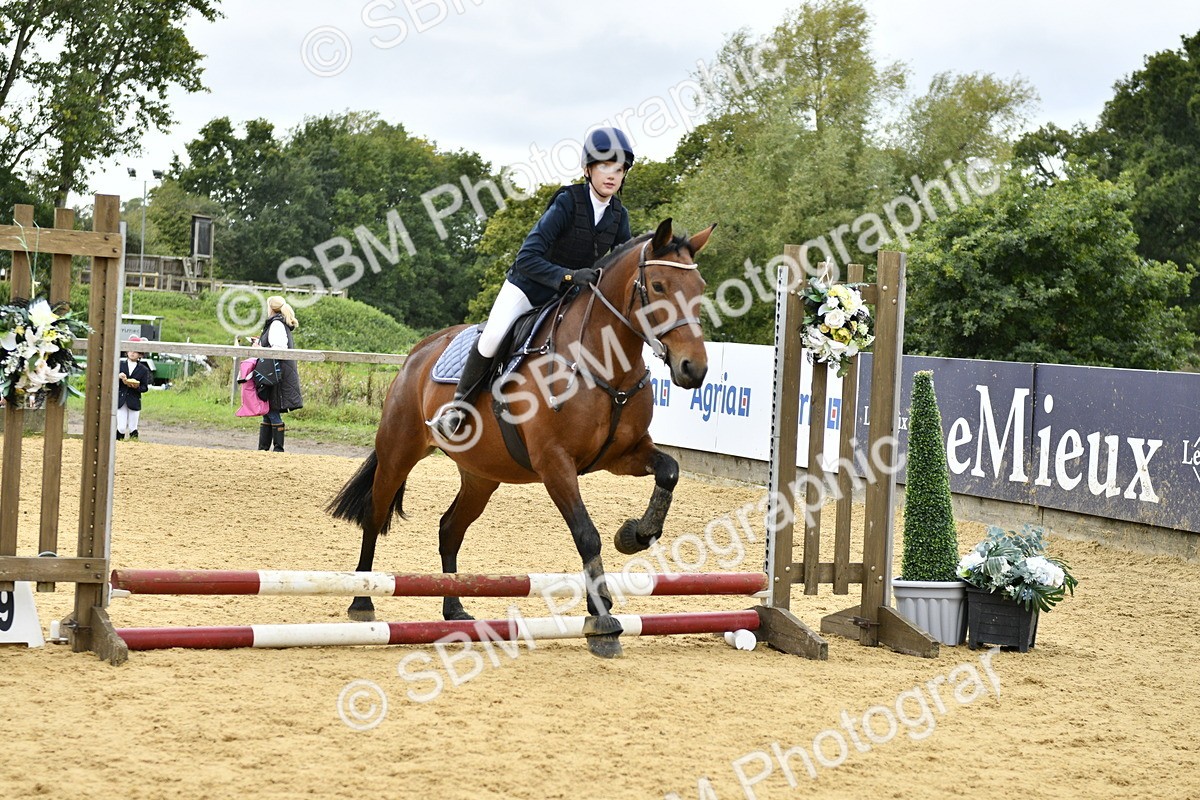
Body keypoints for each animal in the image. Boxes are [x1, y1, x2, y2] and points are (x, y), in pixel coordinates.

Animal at [327, 218, 713, 658]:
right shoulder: (554, 463)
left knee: (449, 528)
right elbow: (587, 536)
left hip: (481, 475)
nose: (694, 369)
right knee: (375, 515)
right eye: (660, 286)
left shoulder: (624, 455)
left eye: (700, 287)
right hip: (399, 450)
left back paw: (454, 609)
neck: (603, 362)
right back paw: (362, 600)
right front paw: (602, 622)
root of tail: (418, 352)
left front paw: (635, 534)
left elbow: (669, 470)